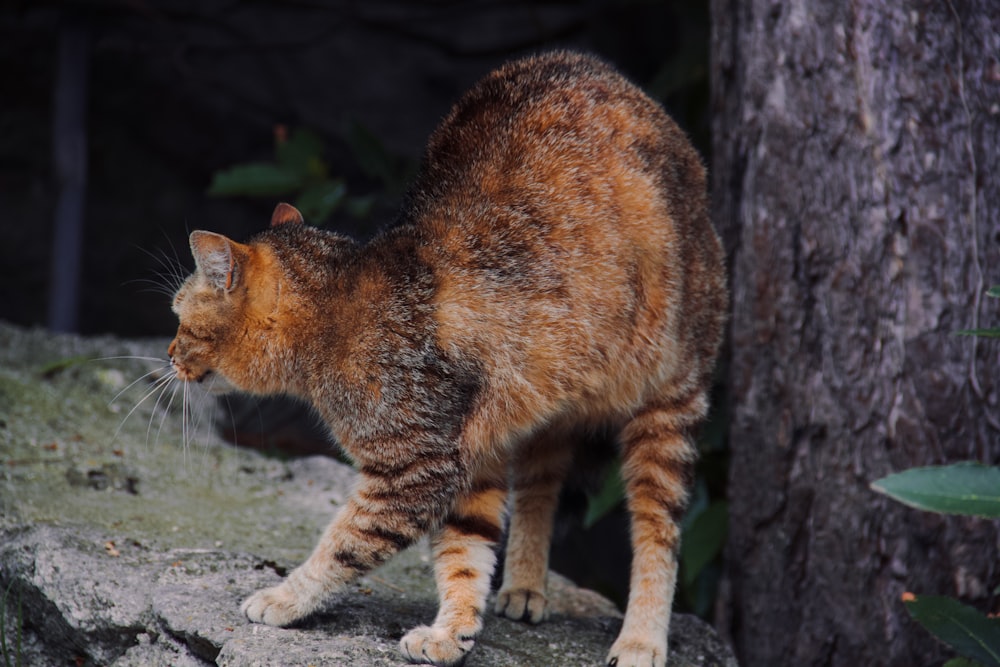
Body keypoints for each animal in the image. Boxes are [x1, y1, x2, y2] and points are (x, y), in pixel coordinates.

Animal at [168, 51, 724, 667]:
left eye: (180, 320)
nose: (168, 354)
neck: (339, 308)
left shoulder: (413, 469)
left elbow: (343, 545)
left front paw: (285, 598)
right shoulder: (468, 458)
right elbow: (466, 554)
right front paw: (452, 631)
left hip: (669, 402)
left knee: (658, 531)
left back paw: (642, 638)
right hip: (540, 404)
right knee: (541, 484)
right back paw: (525, 585)